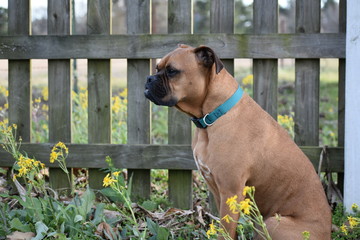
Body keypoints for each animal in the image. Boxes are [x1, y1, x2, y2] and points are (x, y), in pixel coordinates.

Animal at [144, 44, 332, 238]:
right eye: (157, 68)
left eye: (172, 71)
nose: (149, 79)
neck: (213, 116)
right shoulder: (218, 191)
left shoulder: (230, 190)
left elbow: (225, 232)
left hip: (272, 222)